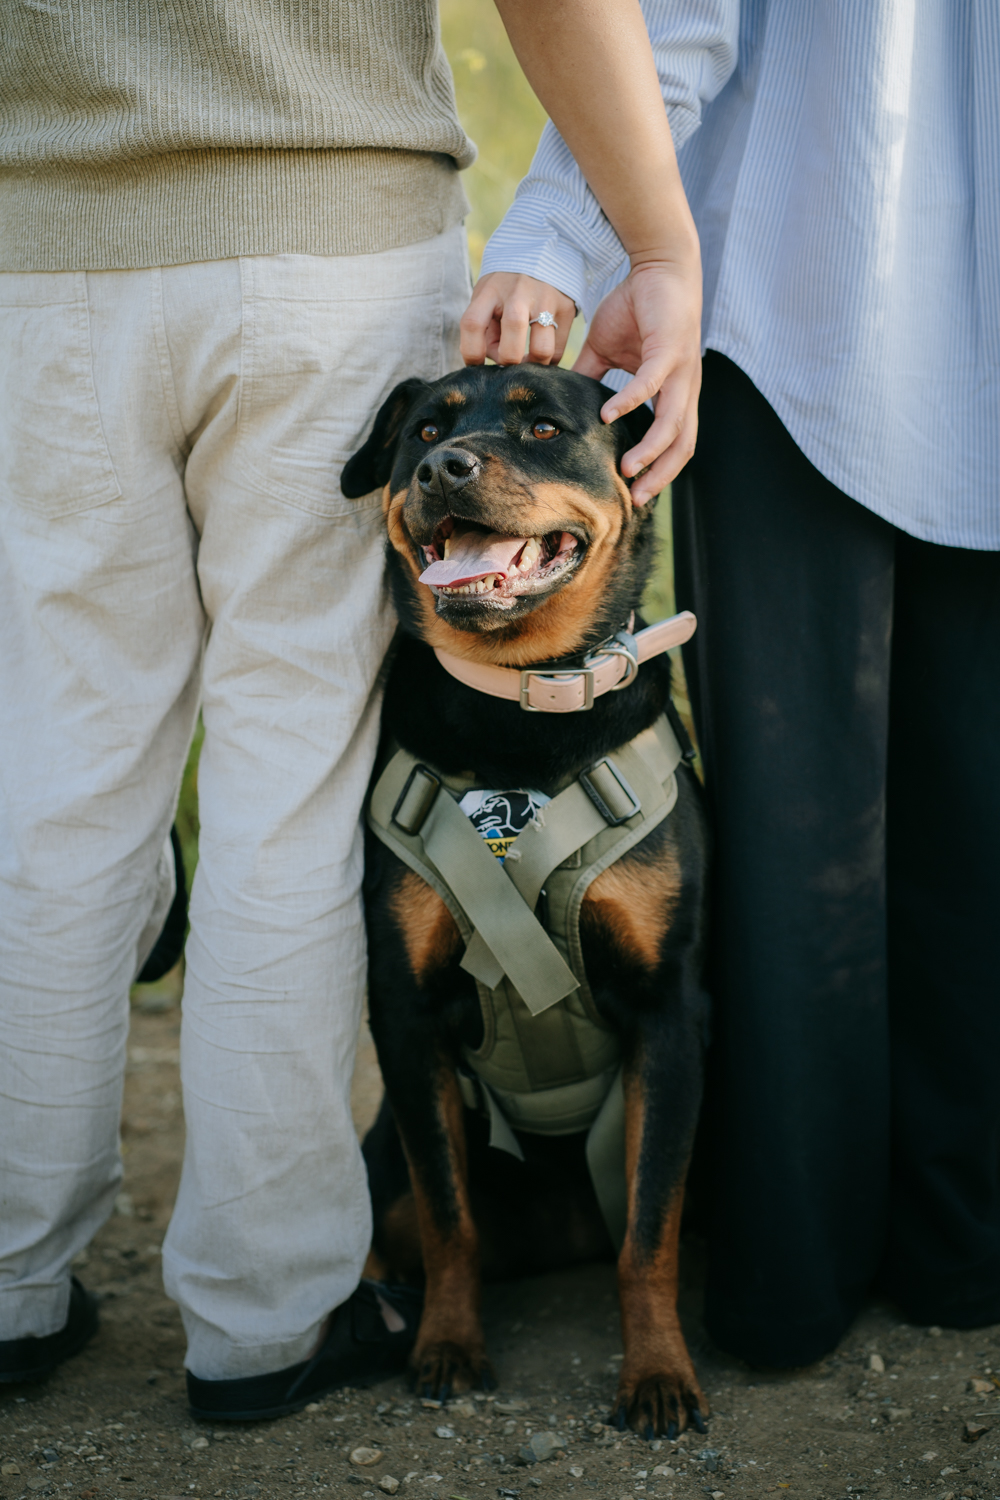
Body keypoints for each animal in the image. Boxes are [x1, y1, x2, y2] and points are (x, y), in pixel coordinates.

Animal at [344, 363, 710, 1440]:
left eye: (542, 427)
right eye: (422, 433)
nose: (443, 469)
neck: (521, 705)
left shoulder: (669, 1012)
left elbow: (649, 1229)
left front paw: (658, 1374)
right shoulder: (406, 1014)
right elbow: (448, 1213)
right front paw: (446, 1347)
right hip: (382, 1159)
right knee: (393, 1223)